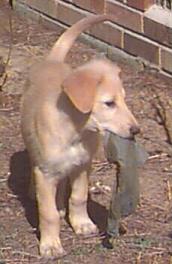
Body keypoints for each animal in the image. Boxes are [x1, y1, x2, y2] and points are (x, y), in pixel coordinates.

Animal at [21, 14, 140, 258]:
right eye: (109, 103)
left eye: (124, 100)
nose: (136, 130)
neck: (75, 132)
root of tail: (53, 61)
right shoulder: (46, 173)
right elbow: (48, 214)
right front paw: (50, 244)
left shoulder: (83, 166)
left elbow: (78, 197)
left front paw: (82, 224)